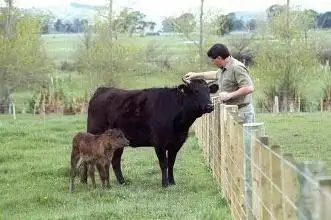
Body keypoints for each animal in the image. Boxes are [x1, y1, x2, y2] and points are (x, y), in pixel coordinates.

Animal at [80, 78, 220, 186]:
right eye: (196, 92)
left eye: (208, 91)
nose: (210, 106)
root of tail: (102, 90)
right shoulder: (159, 142)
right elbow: (163, 163)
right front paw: (165, 184)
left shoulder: (176, 143)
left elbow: (171, 163)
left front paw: (172, 182)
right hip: (94, 134)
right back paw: (84, 181)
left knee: (115, 161)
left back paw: (122, 182)